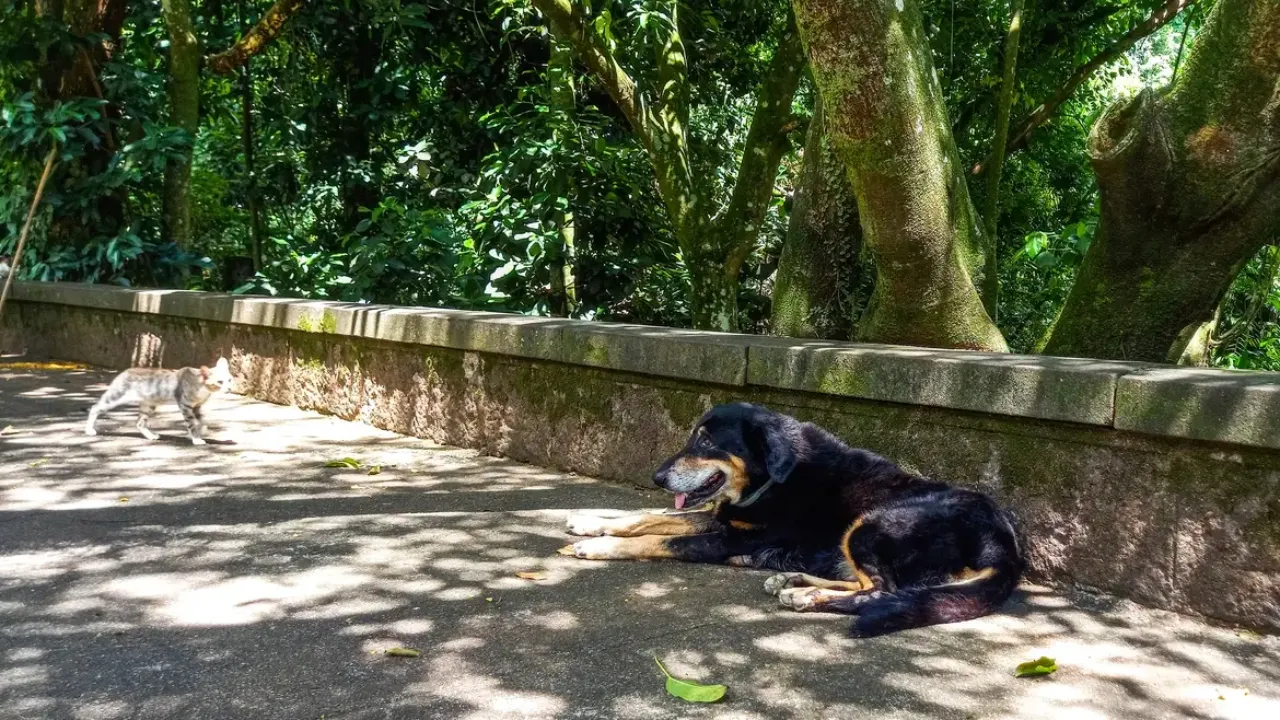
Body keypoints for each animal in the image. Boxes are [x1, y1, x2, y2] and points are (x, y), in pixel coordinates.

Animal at [86, 353, 234, 440]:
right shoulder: (185, 405)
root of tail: (125, 371)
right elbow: (191, 423)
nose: (229, 388)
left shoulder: (196, 406)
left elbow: (202, 420)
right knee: (95, 407)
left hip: (149, 404)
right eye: (220, 382)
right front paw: (197, 439)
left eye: (230, 380)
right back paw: (89, 430)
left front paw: (203, 430)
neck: (202, 387)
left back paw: (151, 436)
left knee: (139, 423)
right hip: (117, 395)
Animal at [565, 399, 1024, 635]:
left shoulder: (730, 537)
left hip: (871, 525)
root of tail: (1004, 547)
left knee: (881, 591)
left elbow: (659, 538)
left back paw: (807, 595)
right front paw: (589, 521)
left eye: (707, 441)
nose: (657, 477)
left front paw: (598, 546)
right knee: (870, 583)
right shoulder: (723, 521)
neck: (772, 478)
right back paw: (793, 581)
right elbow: (643, 517)